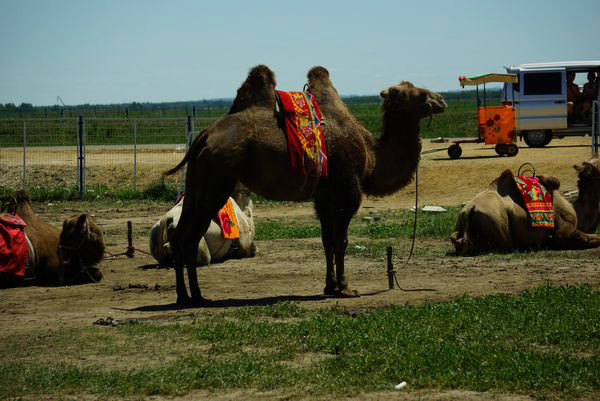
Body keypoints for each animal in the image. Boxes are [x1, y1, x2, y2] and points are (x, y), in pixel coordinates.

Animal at [163, 65, 446, 304]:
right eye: (418, 93)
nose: (441, 100)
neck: (372, 155)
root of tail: (204, 135)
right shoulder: (347, 192)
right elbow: (341, 240)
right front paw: (346, 288)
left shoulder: (324, 197)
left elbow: (327, 240)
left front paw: (330, 286)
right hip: (216, 182)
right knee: (190, 236)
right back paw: (195, 297)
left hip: (198, 182)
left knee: (180, 235)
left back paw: (186, 296)